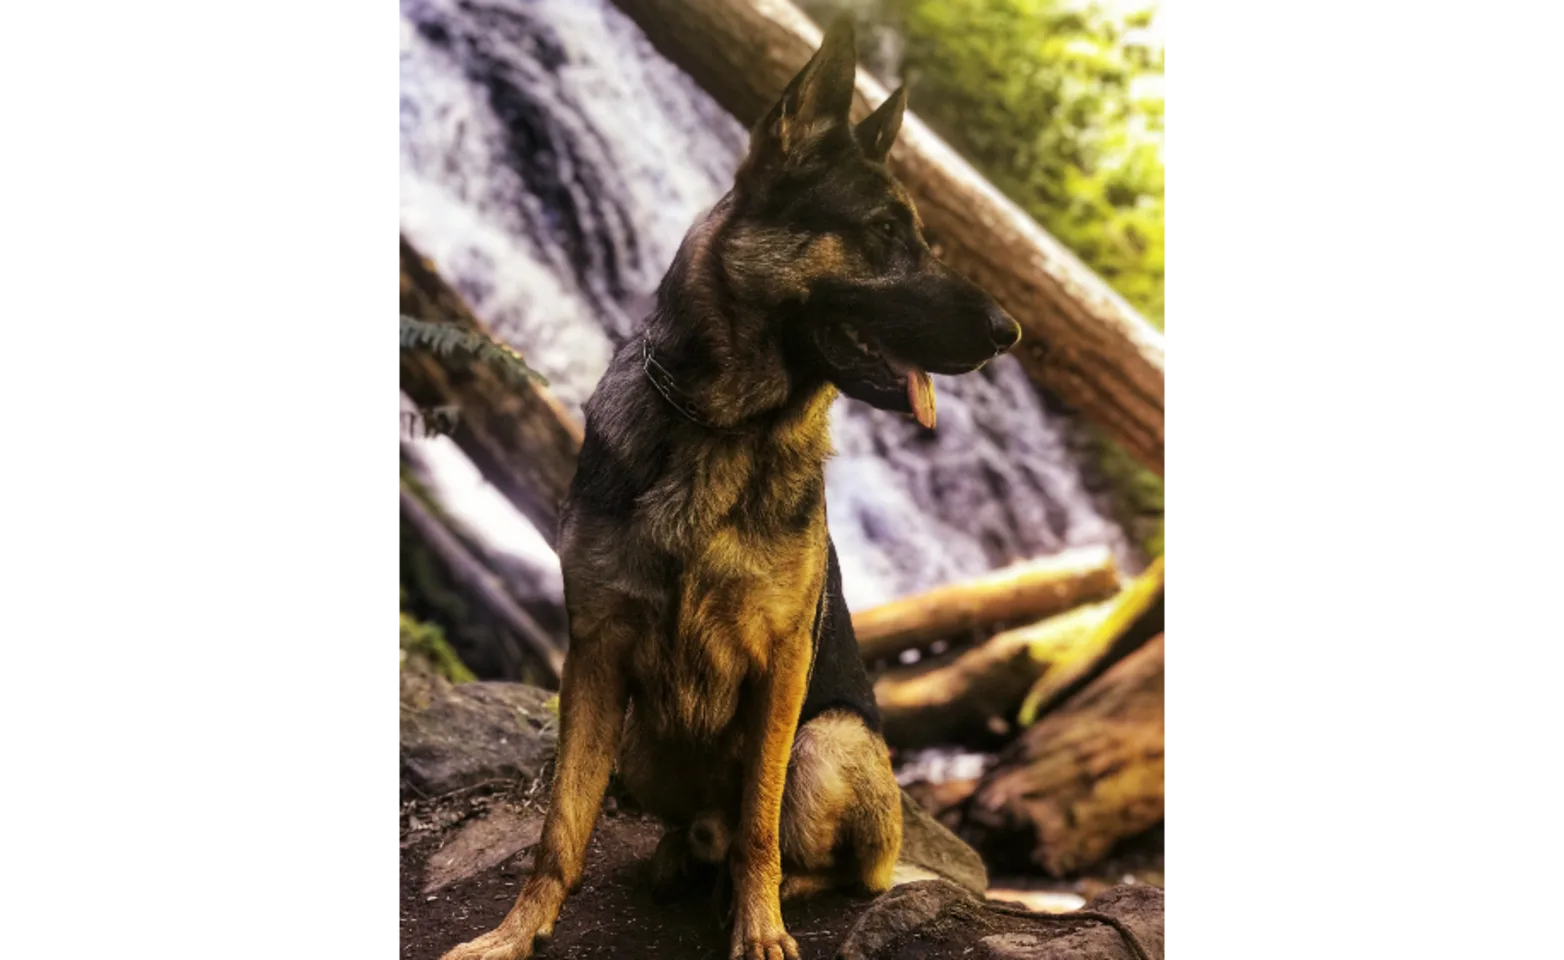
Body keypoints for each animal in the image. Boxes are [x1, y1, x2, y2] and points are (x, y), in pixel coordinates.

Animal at [444, 20, 1025, 960]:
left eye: (923, 236)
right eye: (882, 230)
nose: (1011, 334)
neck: (724, 427)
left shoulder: (780, 671)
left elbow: (759, 820)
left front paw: (759, 928)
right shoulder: (594, 655)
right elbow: (561, 826)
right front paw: (516, 931)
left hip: (829, 743)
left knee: (822, 859)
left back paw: (753, 886)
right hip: (641, 743)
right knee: (695, 830)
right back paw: (679, 858)